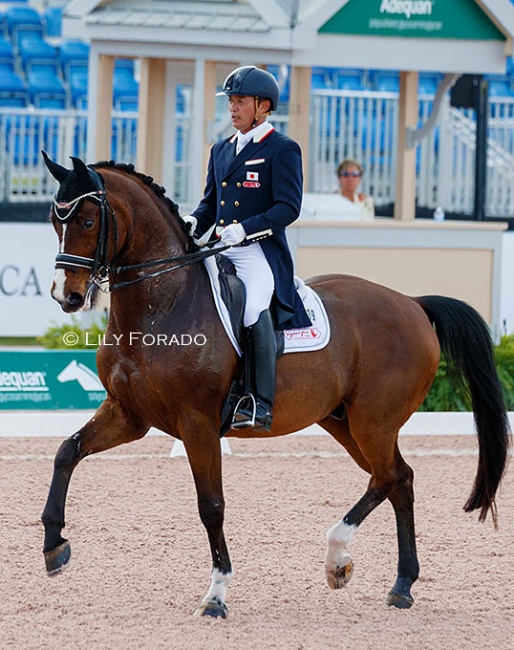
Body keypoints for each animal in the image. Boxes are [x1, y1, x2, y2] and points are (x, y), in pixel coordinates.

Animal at [41, 154, 508, 616]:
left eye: (87, 221)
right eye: (53, 220)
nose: (67, 296)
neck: (163, 303)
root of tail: (413, 304)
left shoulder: (197, 424)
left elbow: (211, 505)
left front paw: (217, 594)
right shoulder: (128, 414)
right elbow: (67, 452)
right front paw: (54, 546)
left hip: (372, 422)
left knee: (389, 477)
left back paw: (341, 559)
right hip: (344, 422)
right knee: (398, 480)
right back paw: (398, 584)